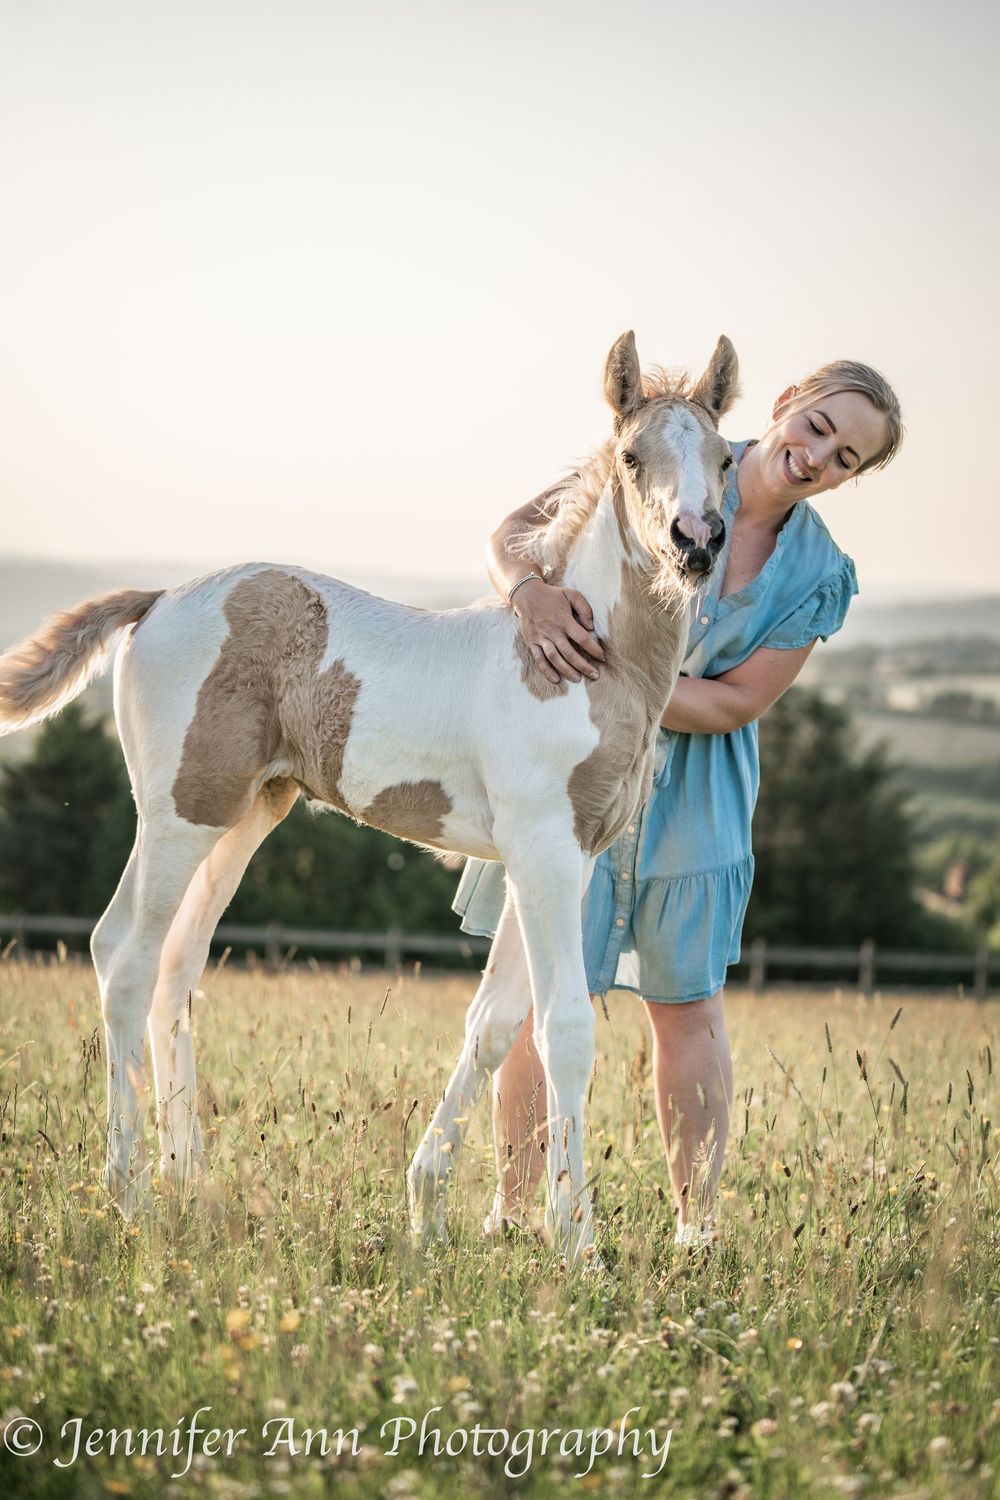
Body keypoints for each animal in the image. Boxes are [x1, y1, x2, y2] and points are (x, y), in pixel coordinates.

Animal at [0, 330, 738, 1262]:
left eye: (723, 457)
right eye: (635, 457)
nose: (696, 541)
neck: (576, 658)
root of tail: (159, 599)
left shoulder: (563, 861)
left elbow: (494, 1024)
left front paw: (428, 1210)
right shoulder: (544, 850)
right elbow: (563, 1027)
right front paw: (577, 1247)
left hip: (247, 814)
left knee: (171, 967)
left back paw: (189, 1185)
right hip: (180, 813)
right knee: (125, 958)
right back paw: (129, 1191)